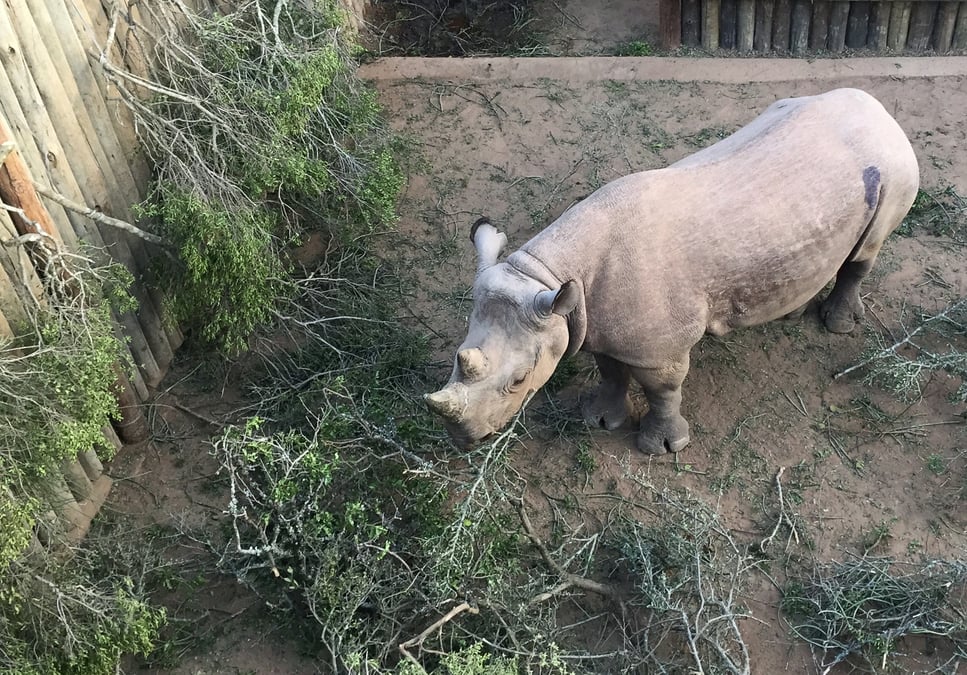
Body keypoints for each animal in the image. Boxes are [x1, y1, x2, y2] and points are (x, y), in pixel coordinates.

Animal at [425, 88, 919, 454]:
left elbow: (662, 388)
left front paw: (663, 447)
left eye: (518, 381)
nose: (463, 439)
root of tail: (880, 110)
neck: (545, 275)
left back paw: (838, 326)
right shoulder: (594, 319)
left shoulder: (658, 346)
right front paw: (598, 420)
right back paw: (792, 314)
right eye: (457, 355)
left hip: (894, 166)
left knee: (867, 249)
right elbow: (611, 370)